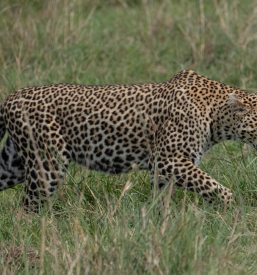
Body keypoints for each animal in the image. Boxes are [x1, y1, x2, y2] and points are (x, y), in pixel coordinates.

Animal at [0, 69, 256, 211]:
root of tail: (11, 97)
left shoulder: (162, 171)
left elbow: (162, 199)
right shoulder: (168, 159)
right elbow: (216, 188)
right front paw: (229, 214)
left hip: (14, 165)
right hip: (47, 165)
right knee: (27, 208)